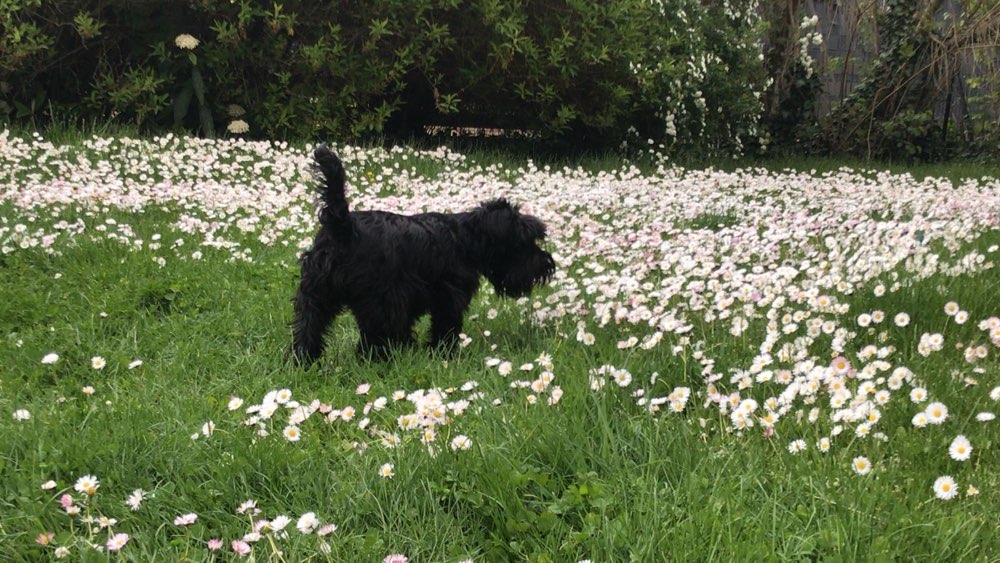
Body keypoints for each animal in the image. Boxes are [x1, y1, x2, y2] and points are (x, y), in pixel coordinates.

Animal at [292, 145, 556, 364]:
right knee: (375, 335)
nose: (547, 264)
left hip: (315, 296)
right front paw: (441, 353)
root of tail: (344, 226)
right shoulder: (447, 298)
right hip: (378, 302)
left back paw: (304, 361)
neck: (465, 237)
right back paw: (379, 360)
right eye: (524, 242)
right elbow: (445, 326)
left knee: (308, 329)